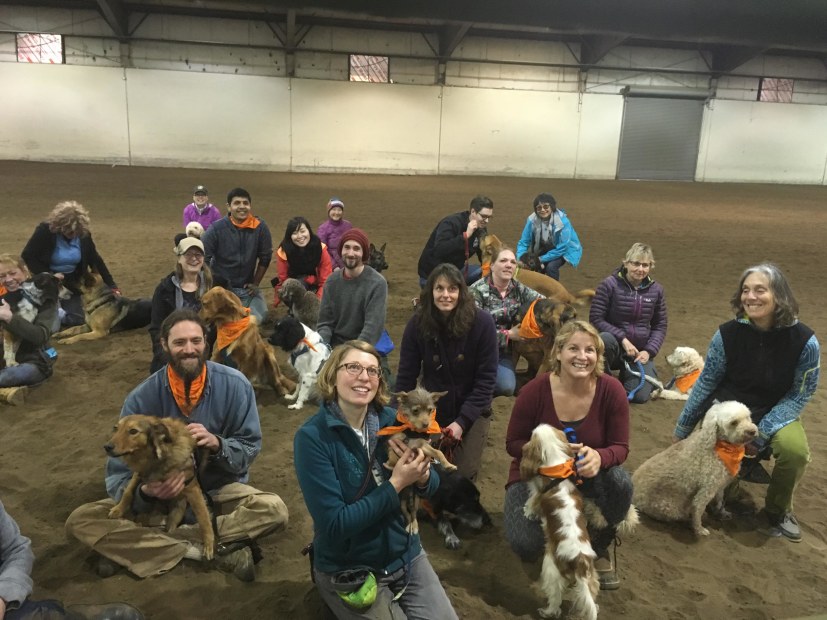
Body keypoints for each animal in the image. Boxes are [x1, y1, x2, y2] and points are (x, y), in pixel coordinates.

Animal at [104, 414, 217, 560]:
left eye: (133, 431)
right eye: (116, 428)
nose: (107, 447)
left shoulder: (192, 489)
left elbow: (203, 519)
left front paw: (209, 544)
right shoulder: (139, 473)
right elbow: (128, 491)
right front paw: (118, 509)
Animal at [520, 424, 600, 620]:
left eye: (532, 435)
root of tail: (580, 561)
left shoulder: (538, 493)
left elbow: (532, 501)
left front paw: (528, 512)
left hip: (551, 568)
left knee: (555, 598)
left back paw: (547, 611)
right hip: (592, 577)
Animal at [632, 400, 756, 536]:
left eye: (748, 417)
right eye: (734, 422)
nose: (753, 431)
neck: (720, 447)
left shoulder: (720, 485)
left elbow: (720, 499)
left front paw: (722, 512)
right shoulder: (706, 490)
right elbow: (698, 510)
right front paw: (699, 529)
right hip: (669, 507)